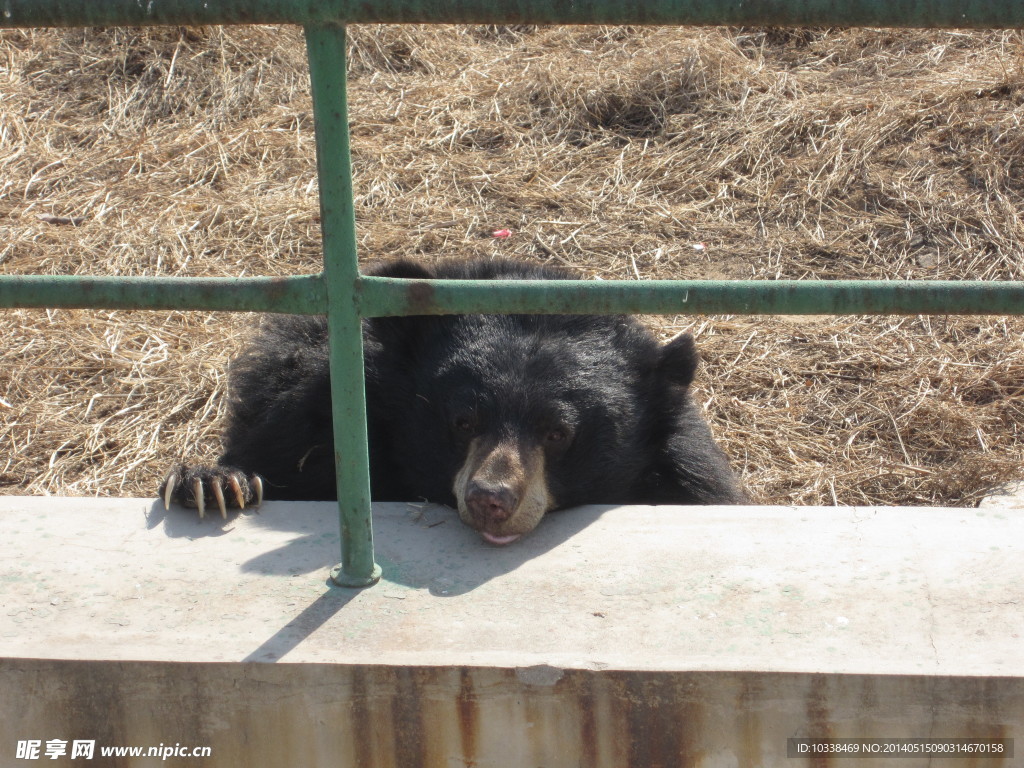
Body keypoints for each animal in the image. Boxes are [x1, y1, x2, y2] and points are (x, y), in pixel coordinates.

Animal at [163, 260, 749, 548]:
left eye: (558, 433)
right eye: (463, 420)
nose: (491, 499)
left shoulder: (685, 475)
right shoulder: (312, 413)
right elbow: (277, 459)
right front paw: (214, 484)